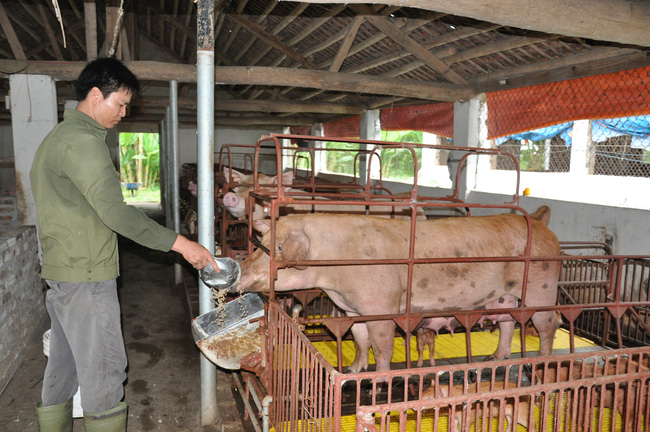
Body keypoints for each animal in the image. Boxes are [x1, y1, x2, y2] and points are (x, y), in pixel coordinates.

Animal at [235, 207, 560, 374]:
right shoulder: (352, 308)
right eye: (262, 243)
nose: (239, 273)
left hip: (541, 288)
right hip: (505, 297)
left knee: (547, 325)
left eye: (278, 248)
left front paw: (378, 377)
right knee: (508, 323)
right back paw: (494, 359)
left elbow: (381, 347)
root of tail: (540, 221)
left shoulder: (382, 306)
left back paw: (542, 362)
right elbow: (360, 340)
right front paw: (353, 370)